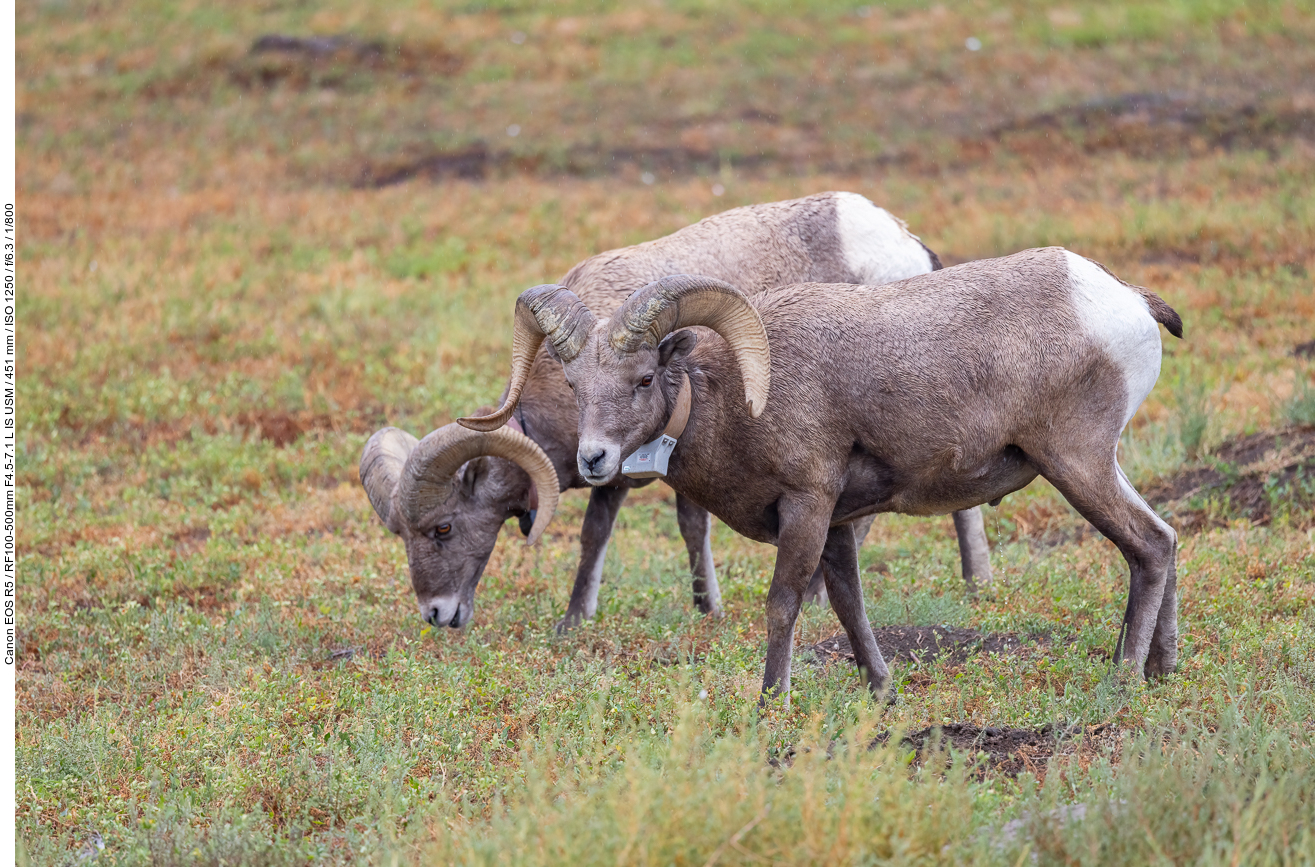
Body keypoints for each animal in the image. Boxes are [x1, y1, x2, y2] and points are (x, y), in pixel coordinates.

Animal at [357, 192, 988, 631]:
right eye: (576, 385)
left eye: (442, 528)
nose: (436, 615)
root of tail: (906, 246)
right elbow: (605, 533)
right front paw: (577, 619)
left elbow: (678, 526)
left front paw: (707, 609)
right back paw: (977, 583)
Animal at [468, 247, 1188, 699]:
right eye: (575, 385)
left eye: (644, 379)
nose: (593, 459)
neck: (738, 399)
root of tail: (1124, 301)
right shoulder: (839, 523)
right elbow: (849, 604)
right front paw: (881, 690)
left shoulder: (807, 507)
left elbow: (783, 604)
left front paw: (771, 699)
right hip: (1099, 464)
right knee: (1165, 539)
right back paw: (1161, 668)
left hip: (1075, 462)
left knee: (1147, 545)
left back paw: (1124, 678)